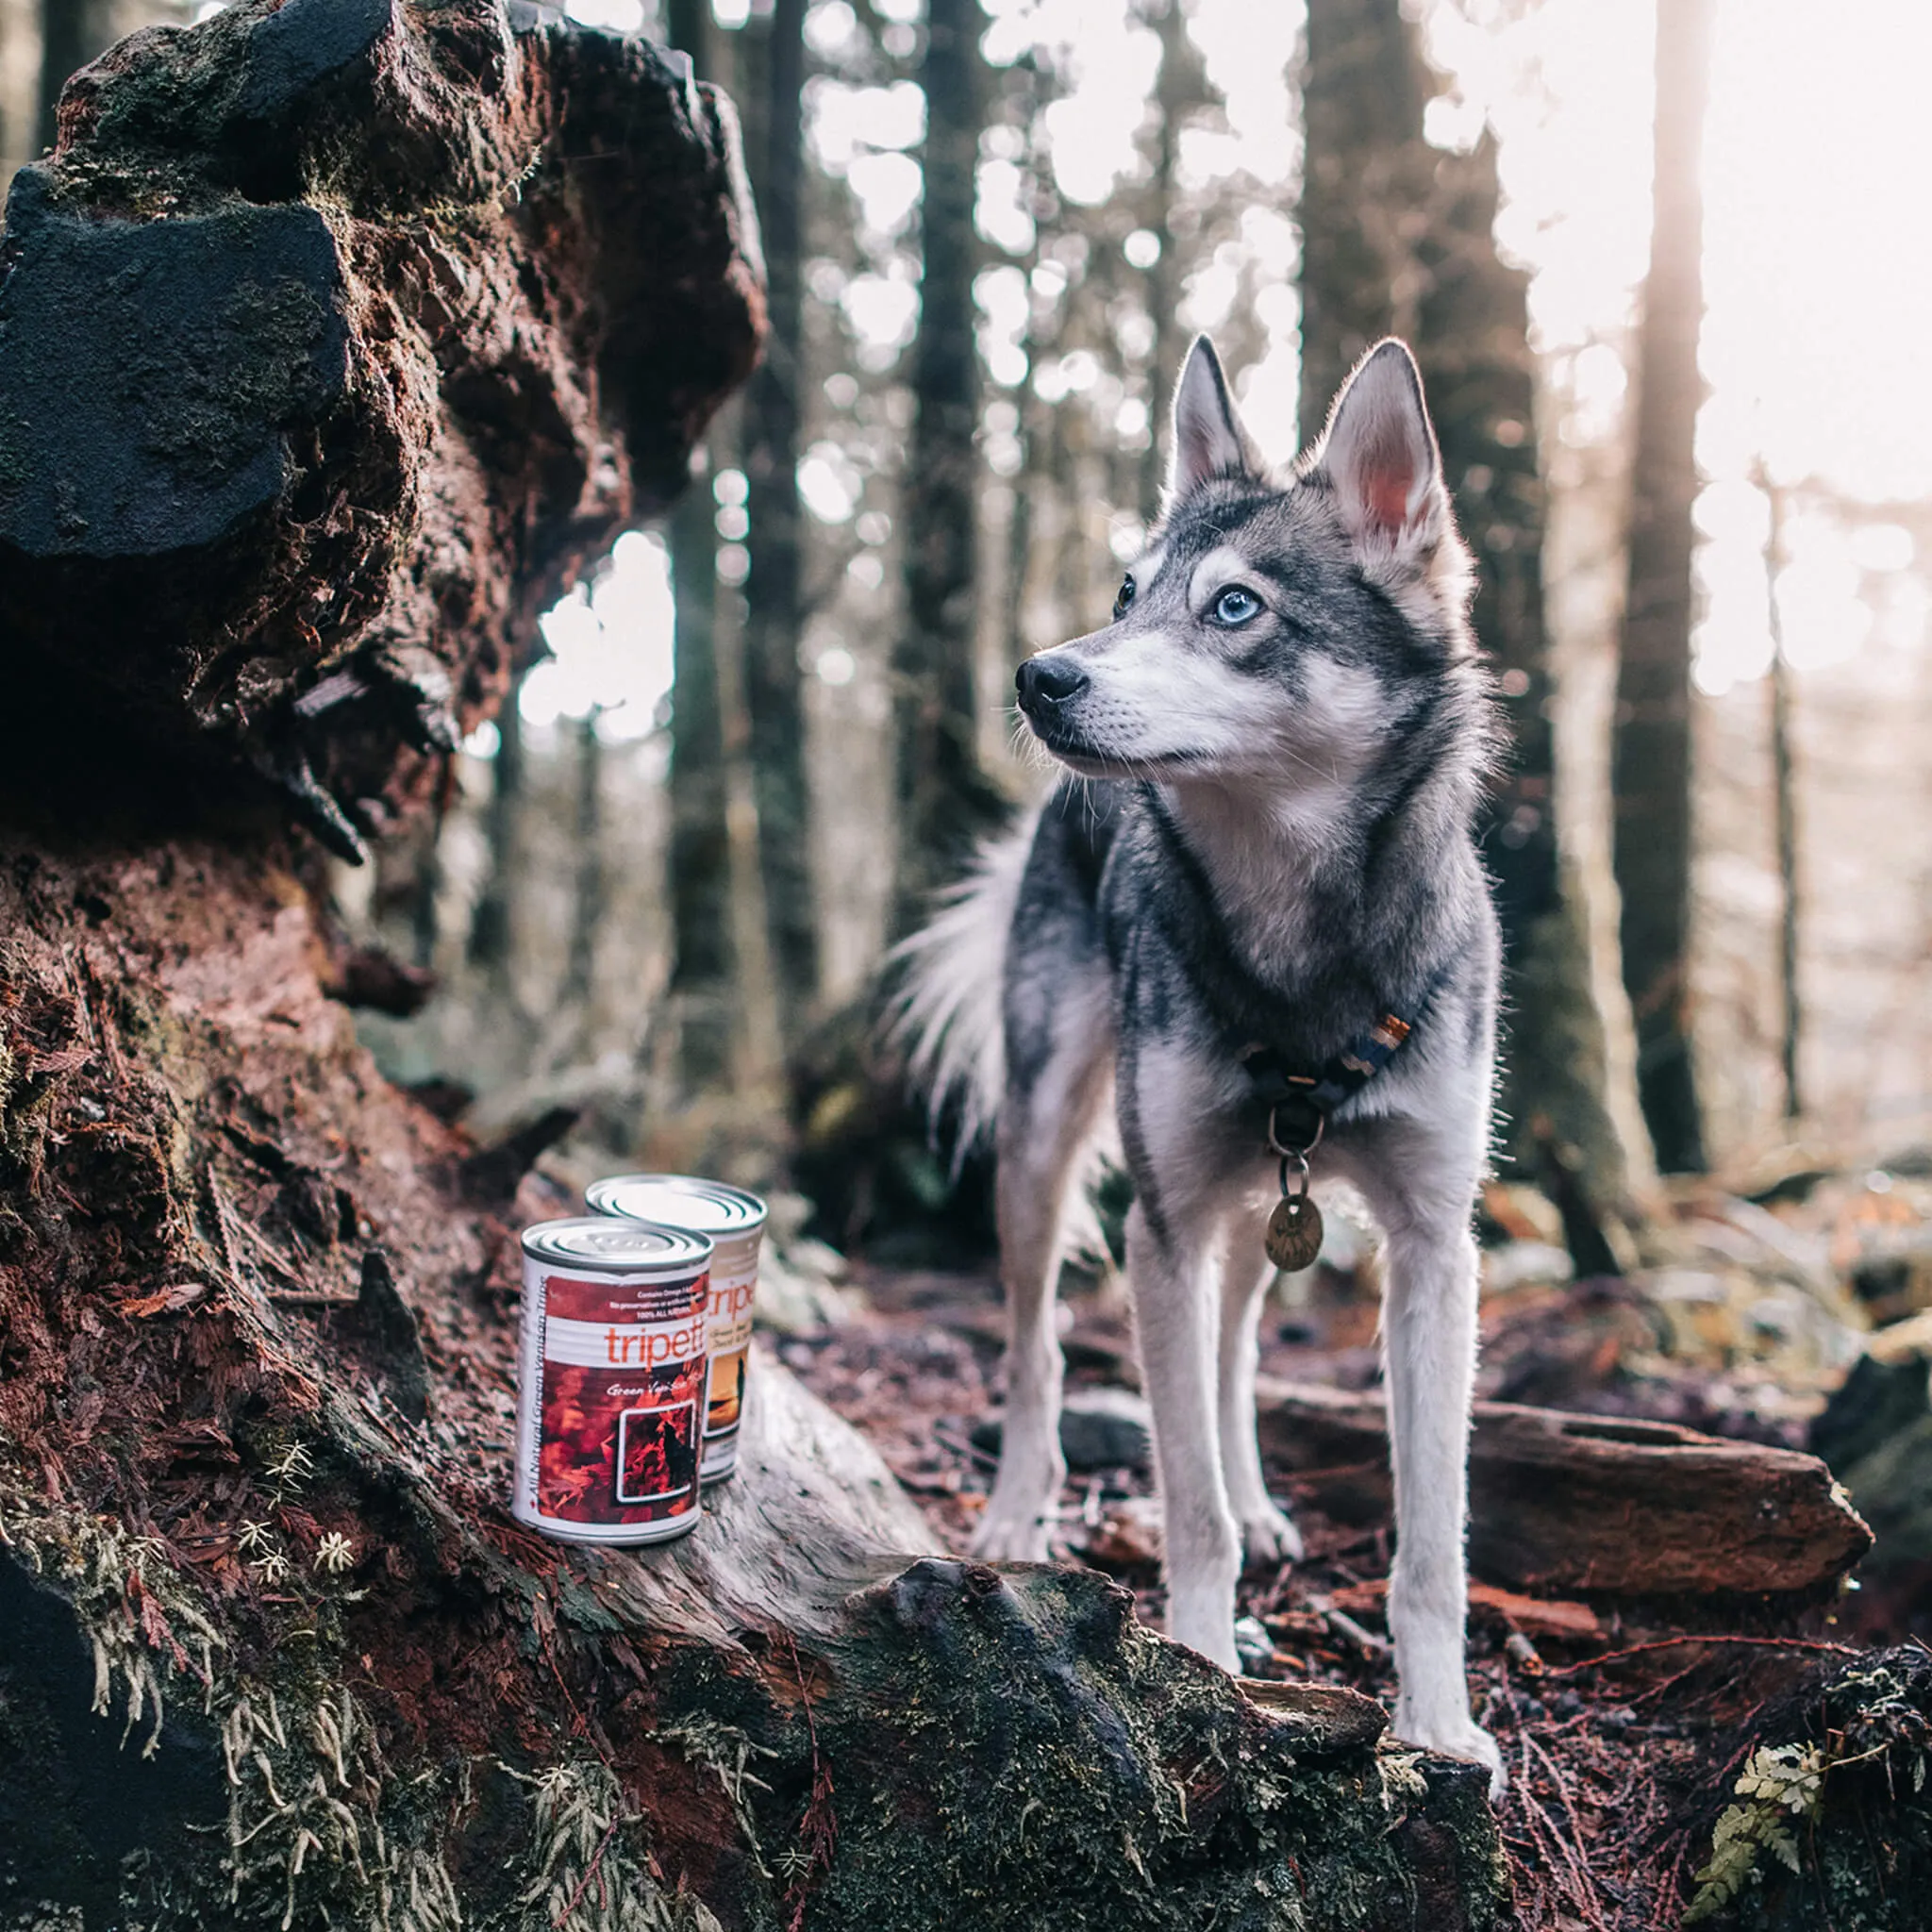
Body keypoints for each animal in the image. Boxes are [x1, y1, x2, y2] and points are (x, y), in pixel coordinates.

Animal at [889, 332, 1507, 1792]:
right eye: (1127, 593)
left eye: (1234, 608)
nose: (1039, 676)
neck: (1303, 957)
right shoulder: (1159, 1228)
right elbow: (1184, 1511)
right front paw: (1205, 1671)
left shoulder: (1433, 1249)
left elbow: (1431, 1542)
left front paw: (1439, 1726)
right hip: (1051, 1154)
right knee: (1035, 1354)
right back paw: (1016, 1514)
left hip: (1260, 1213)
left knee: (1231, 1359)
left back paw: (1262, 1493)